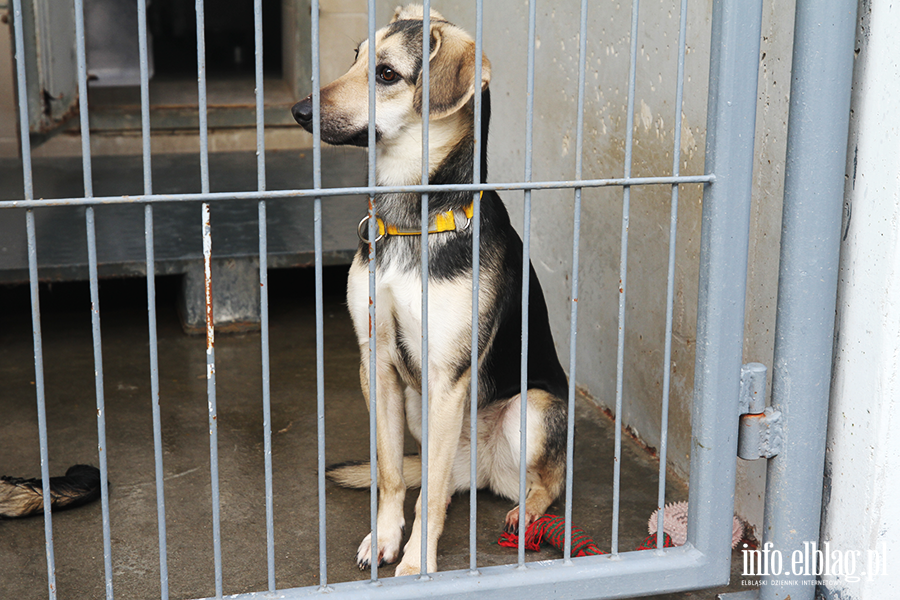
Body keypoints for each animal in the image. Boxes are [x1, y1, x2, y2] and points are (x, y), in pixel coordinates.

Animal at [292, 4, 568, 576]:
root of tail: (478, 468)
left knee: (545, 482)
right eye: (355, 58)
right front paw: (384, 539)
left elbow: (432, 496)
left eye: (386, 74)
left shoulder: (447, 373)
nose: (298, 111)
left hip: (531, 408)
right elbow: (392, 474)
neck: (411, 219)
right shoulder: (375, 360)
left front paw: (417, 563)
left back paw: (527, 513)